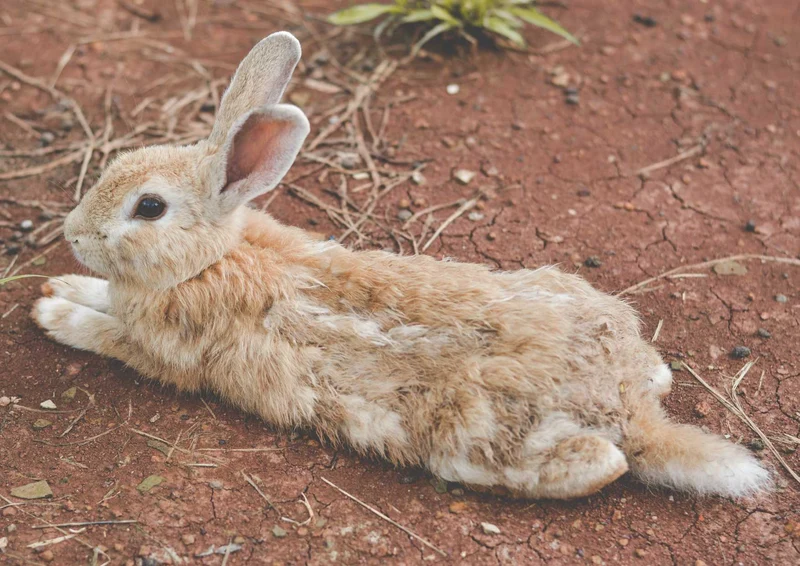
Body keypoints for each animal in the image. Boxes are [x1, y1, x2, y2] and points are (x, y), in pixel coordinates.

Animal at [32, 31, 770, 500]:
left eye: (149, 207)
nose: (73, 233)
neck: (209, 258)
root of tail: (628, 409)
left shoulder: (163, 352)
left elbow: (104, 332)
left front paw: (52, 309)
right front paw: (63, 284)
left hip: (481, 441)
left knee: (601, 466)